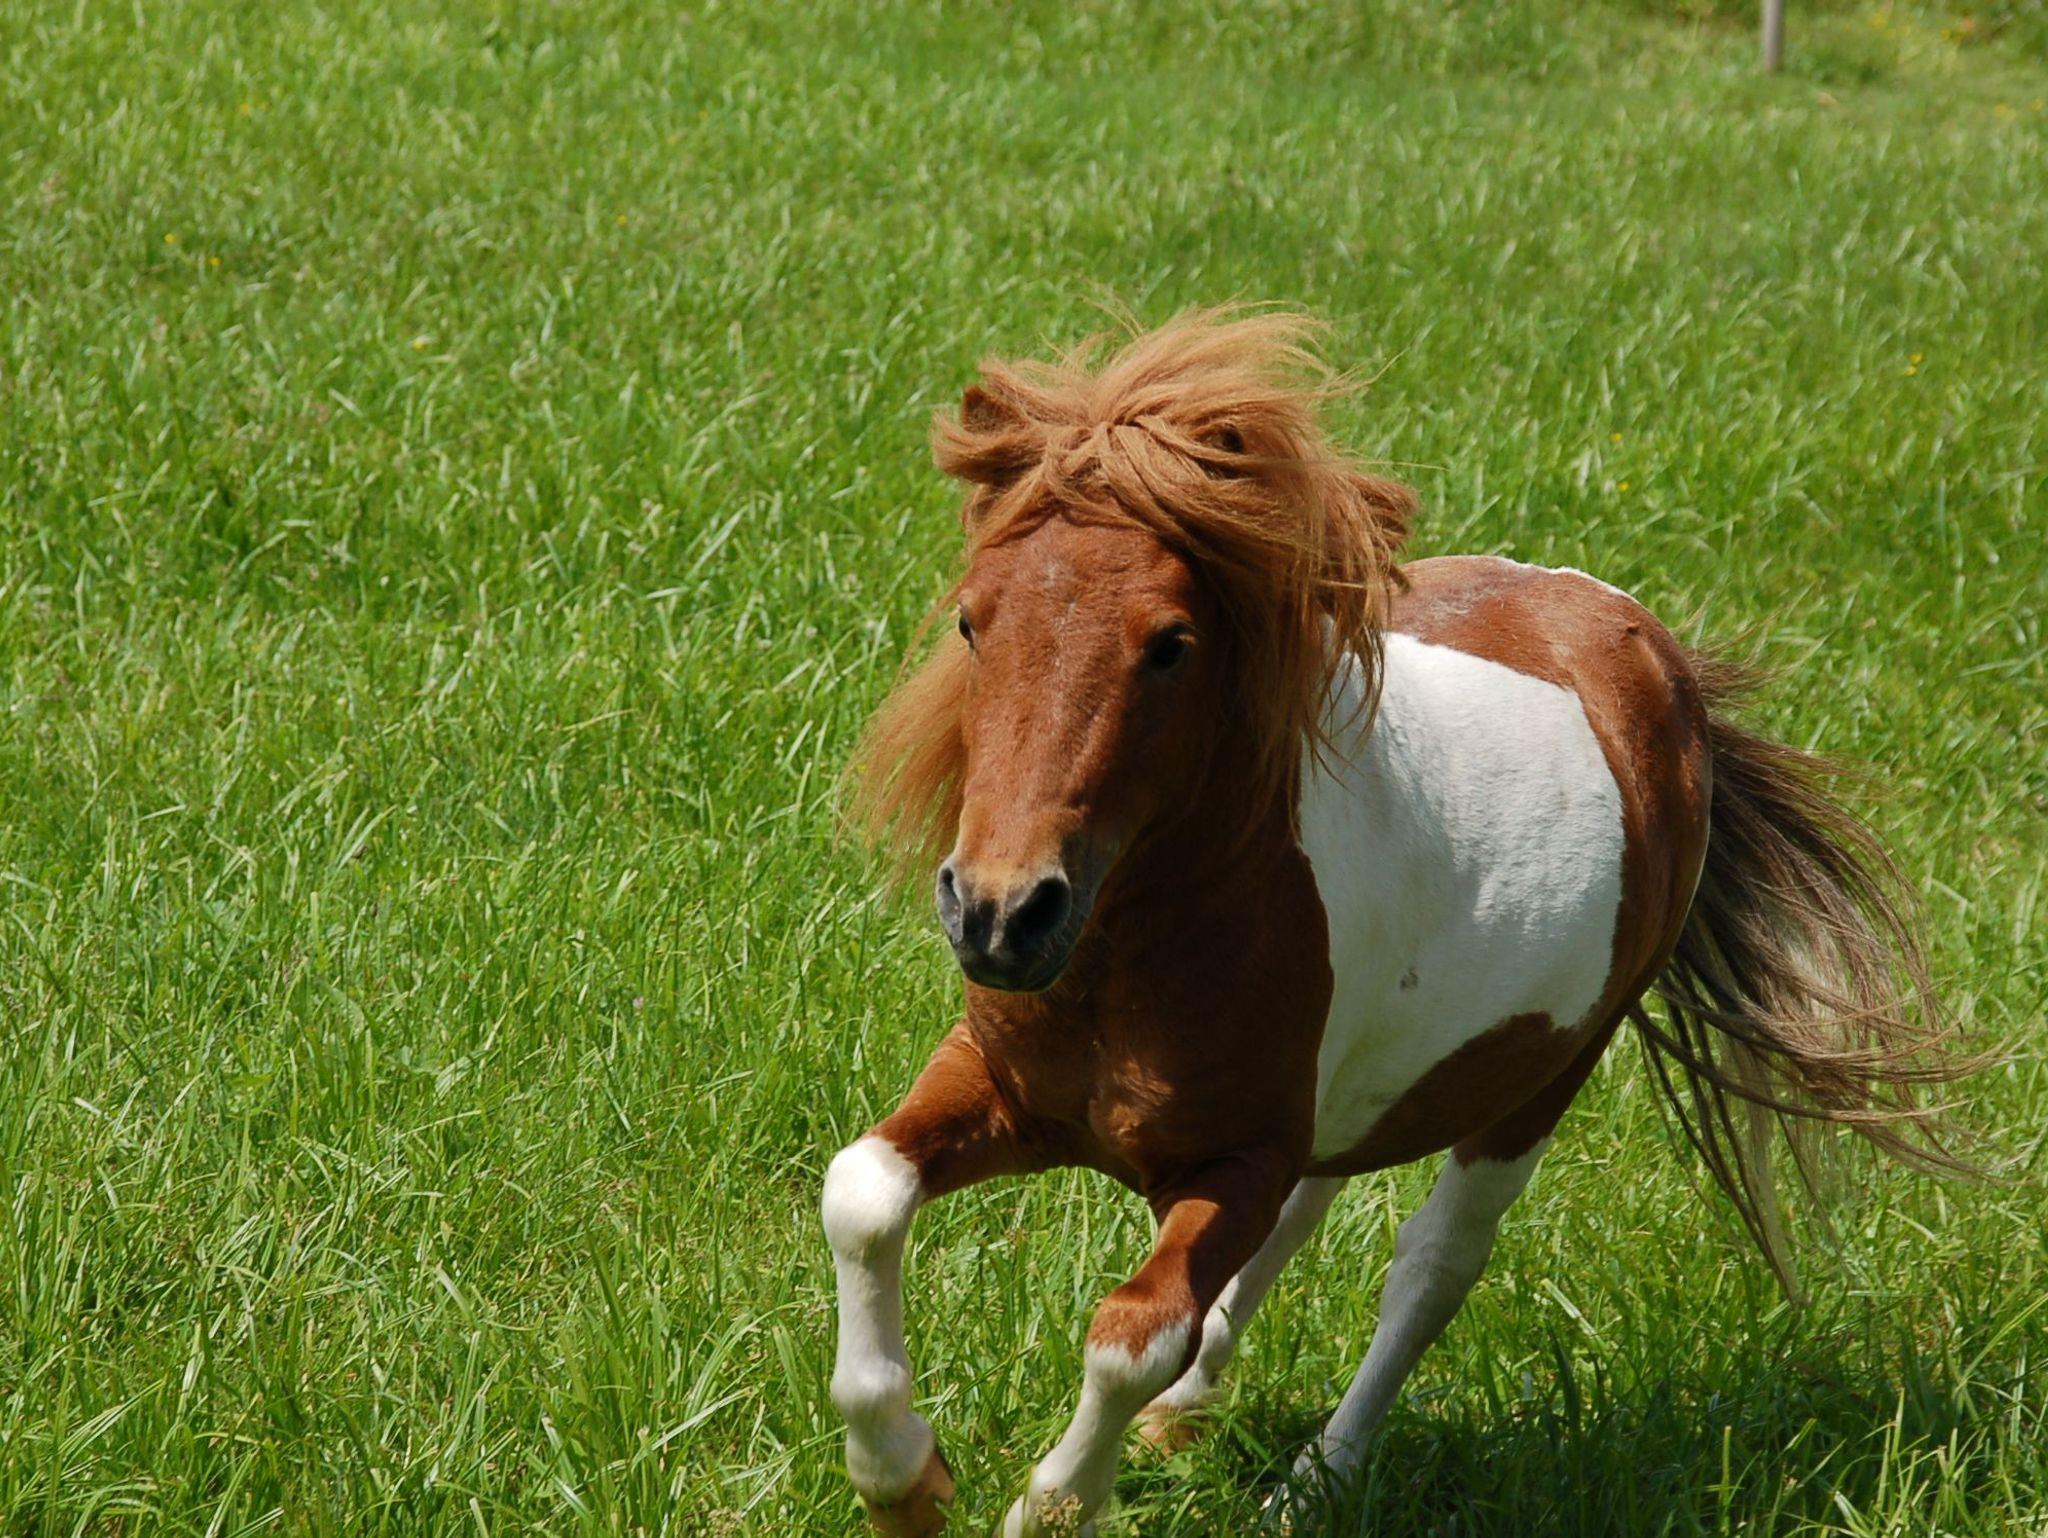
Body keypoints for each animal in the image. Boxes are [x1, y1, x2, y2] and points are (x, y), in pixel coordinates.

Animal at [821, 311, 1965, 1536]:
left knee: (1430, 1268)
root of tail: (1653, 653)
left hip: (1539, 1084)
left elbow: (1133, 1333)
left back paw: (1316, 1479)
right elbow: (862, 1193)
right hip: (1380, 1085)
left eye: (1170, 643)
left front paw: (1054, 1501)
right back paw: (1189, 1416)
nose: (1001, 912)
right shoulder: (1001, 1083)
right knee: (1314, 1211)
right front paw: (903, 1478)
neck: (1134, 952)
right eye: (970, 619)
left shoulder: (1236, 1160)